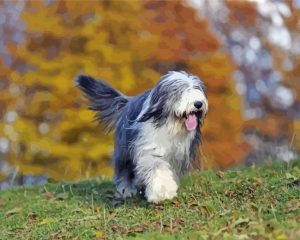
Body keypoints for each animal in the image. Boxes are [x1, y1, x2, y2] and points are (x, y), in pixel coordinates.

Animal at [77, 71, 209, 202]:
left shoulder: (178, 155)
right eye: (180, 91)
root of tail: (128, 101)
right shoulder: (149, 146)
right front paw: (162, 191)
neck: (170, 126)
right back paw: (126, 190)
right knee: (124, 170)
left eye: (197, 88)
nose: (198, 103)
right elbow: (156, 167)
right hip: (124, 150)